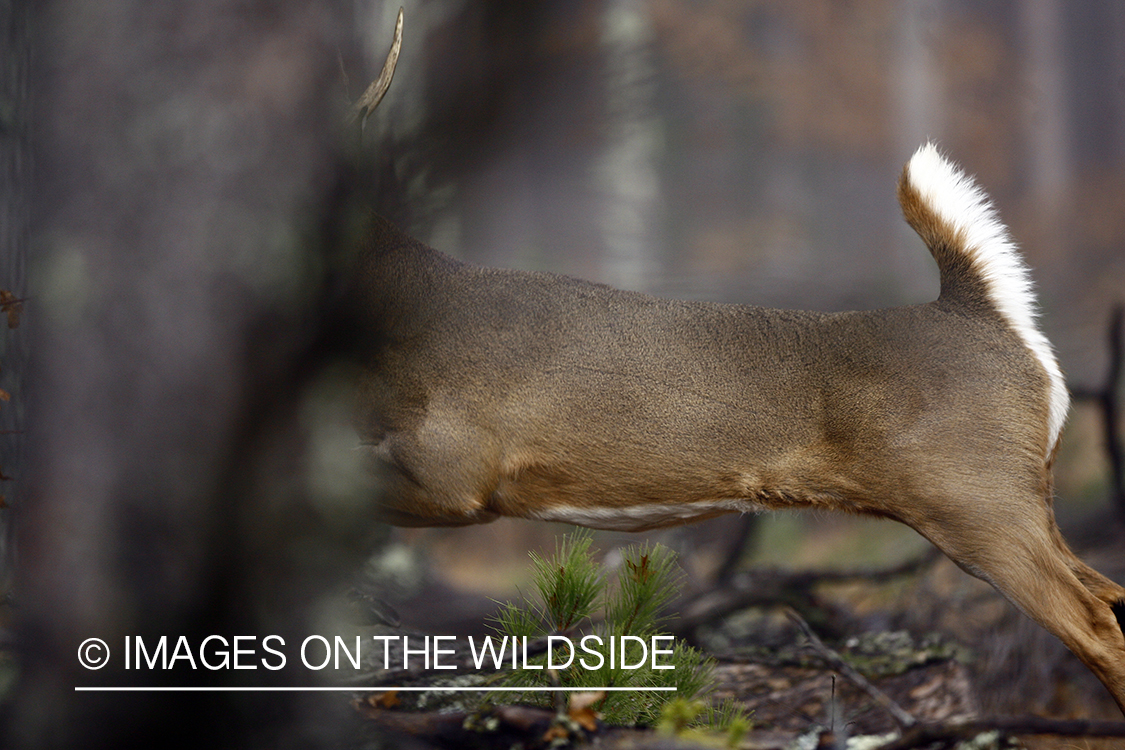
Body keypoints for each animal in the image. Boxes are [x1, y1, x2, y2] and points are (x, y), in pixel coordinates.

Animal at [351, 11, 1125, 715]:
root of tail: (988, 317)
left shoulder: (456, 469)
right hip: (1018, 498)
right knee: (1109, 593)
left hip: (973, 497)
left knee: (1094, 624)